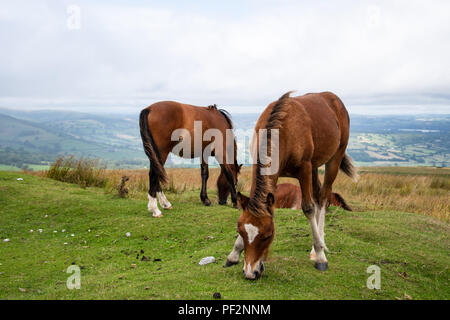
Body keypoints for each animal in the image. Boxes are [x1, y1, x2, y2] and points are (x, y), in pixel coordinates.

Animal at [225, 91, 358, 278]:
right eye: (241, 232)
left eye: (268, 235)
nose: (251, 273)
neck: (282, 130)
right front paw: (234, 253)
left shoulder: (304, 169)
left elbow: (308, 208)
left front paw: (320, 257)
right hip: (315, 166)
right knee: (318, 196)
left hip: (334, 158)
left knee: (324, 198)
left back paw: (319, 247)